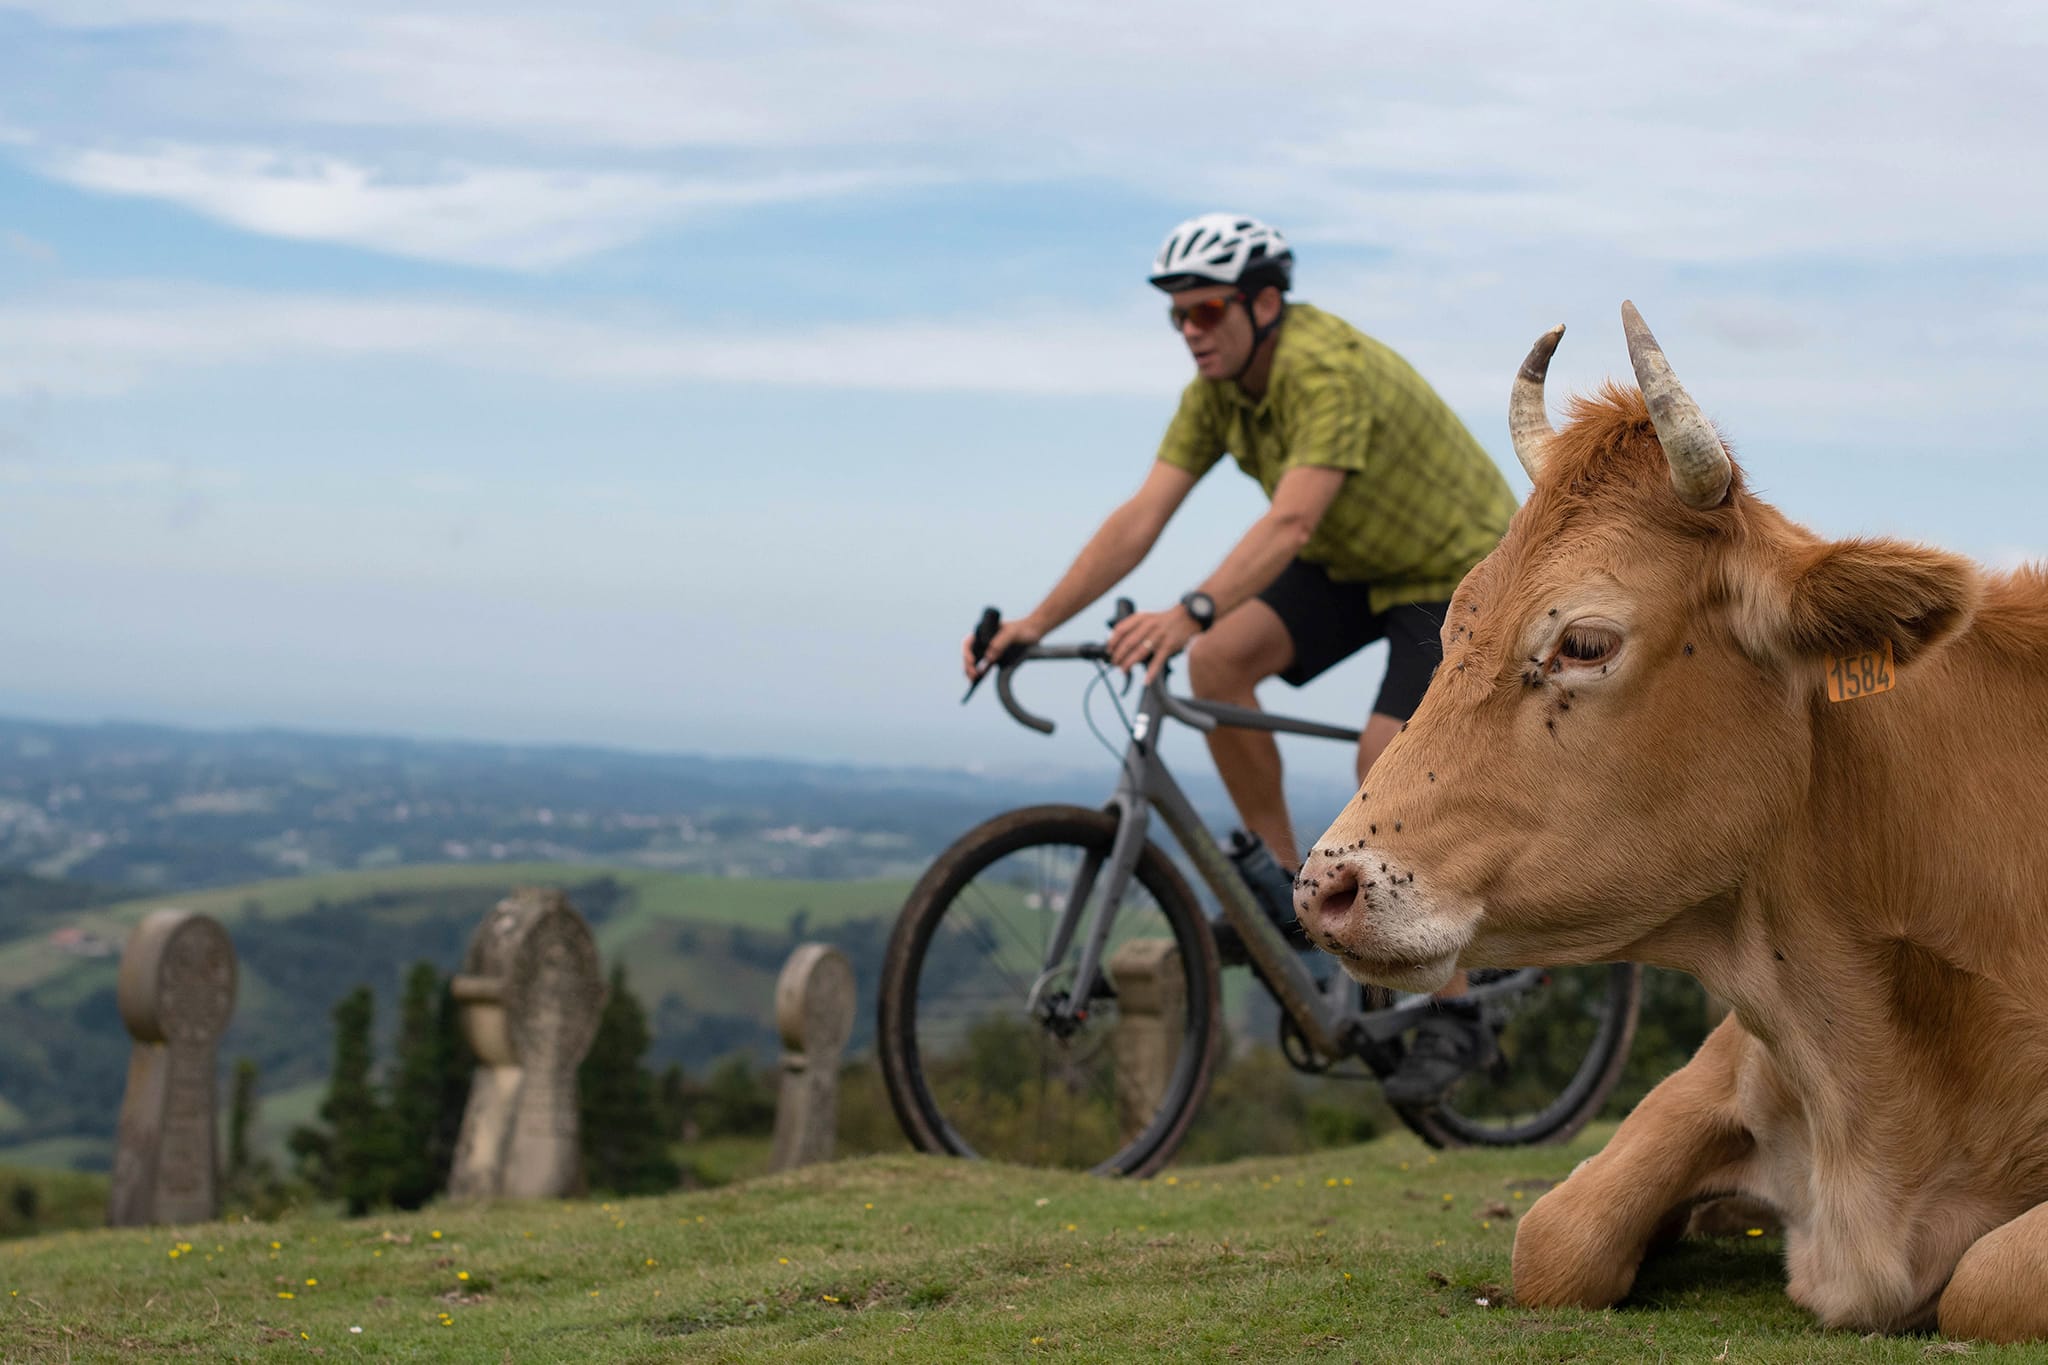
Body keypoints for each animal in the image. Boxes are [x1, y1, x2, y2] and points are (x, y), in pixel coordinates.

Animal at [1294, 304, 2048, 1342]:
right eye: (1453, 626)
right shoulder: (1718, 1063)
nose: (1323, 885)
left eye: (1583, 641)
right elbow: (1555, 1238)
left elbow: (1989, 1278)